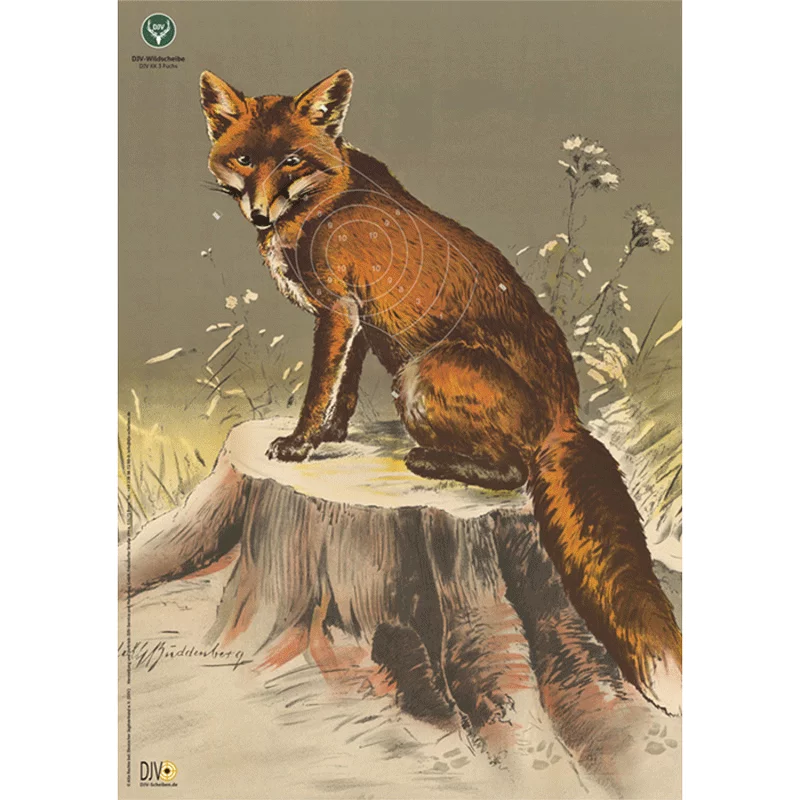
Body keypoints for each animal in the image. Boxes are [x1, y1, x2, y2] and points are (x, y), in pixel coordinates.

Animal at [199, 68, 682, 715]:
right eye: (245, 159)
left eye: (293, 160)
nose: (257, 213)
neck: (326, 198)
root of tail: (567, 414)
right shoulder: (359, 322)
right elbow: (343, 392)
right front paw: (331, 437)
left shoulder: (338, 311)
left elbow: (319, 387)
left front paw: (300, 444)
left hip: (418, 376)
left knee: (515, 471)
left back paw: (431, 460)